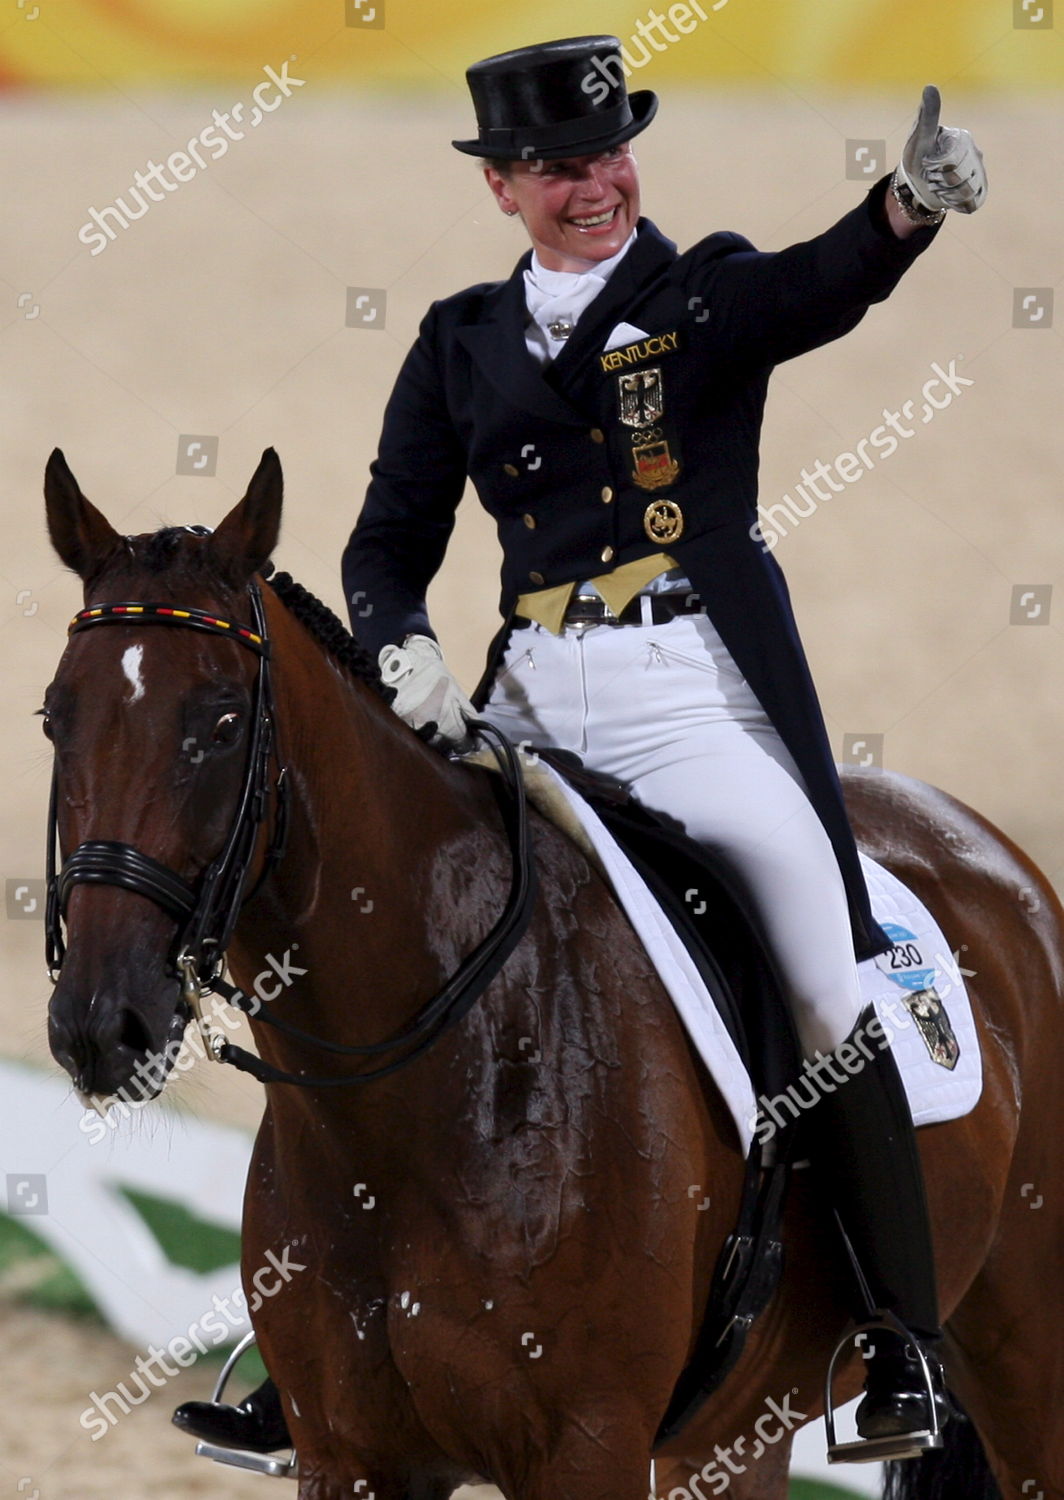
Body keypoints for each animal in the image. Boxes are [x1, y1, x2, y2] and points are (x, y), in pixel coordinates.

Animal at [37, 447, 1056, 1500]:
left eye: (224, 722)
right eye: (53, 720)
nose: (99, 1024)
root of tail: (984, 847)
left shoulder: (586, 1446)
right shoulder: (349, 1457)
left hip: (1026, 1359)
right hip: (740, 1427)